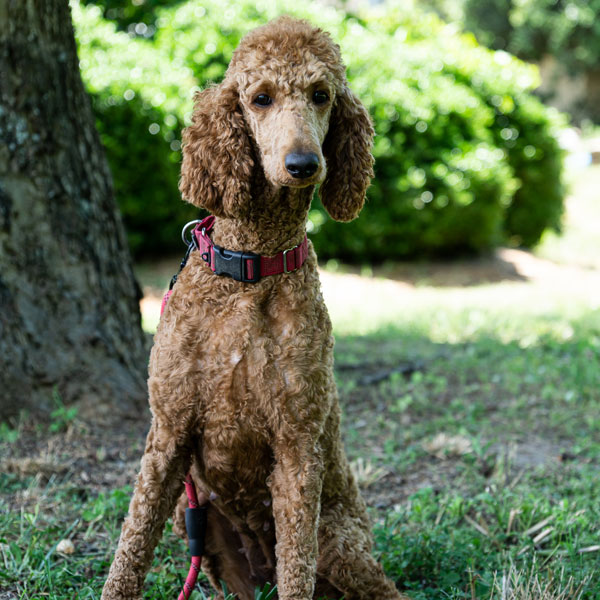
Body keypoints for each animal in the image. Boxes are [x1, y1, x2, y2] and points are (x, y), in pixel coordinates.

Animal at [102, 14, 408, 600]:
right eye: (260, 98)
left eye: (321, 95)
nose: (303, 163)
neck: (251, 269)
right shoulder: (167, 435)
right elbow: (130, 551)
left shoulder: (297, 446)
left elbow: (296, 572)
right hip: (201, 527)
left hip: (339, 542)